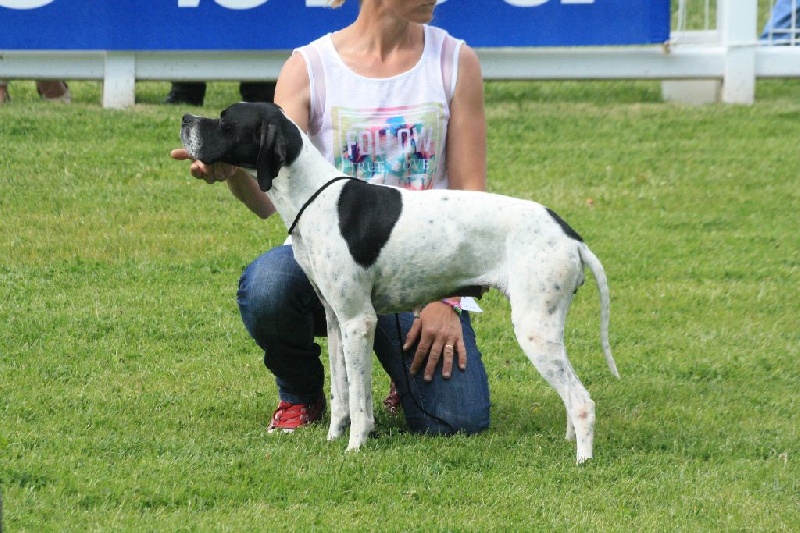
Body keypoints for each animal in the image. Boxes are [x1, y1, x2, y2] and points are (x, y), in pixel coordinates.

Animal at [180, 102, 619, 463]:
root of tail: (570, 236)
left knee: (583, 402)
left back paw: (582, 460)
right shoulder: (337, 321)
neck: (314, 198)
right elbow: (342, 393)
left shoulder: (359, 321)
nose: (185, 120)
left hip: (533, 329)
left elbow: (360, 400)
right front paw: (333, 438)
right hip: (546, 327)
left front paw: (356, 446)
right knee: (571, 397)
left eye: (225, 122)